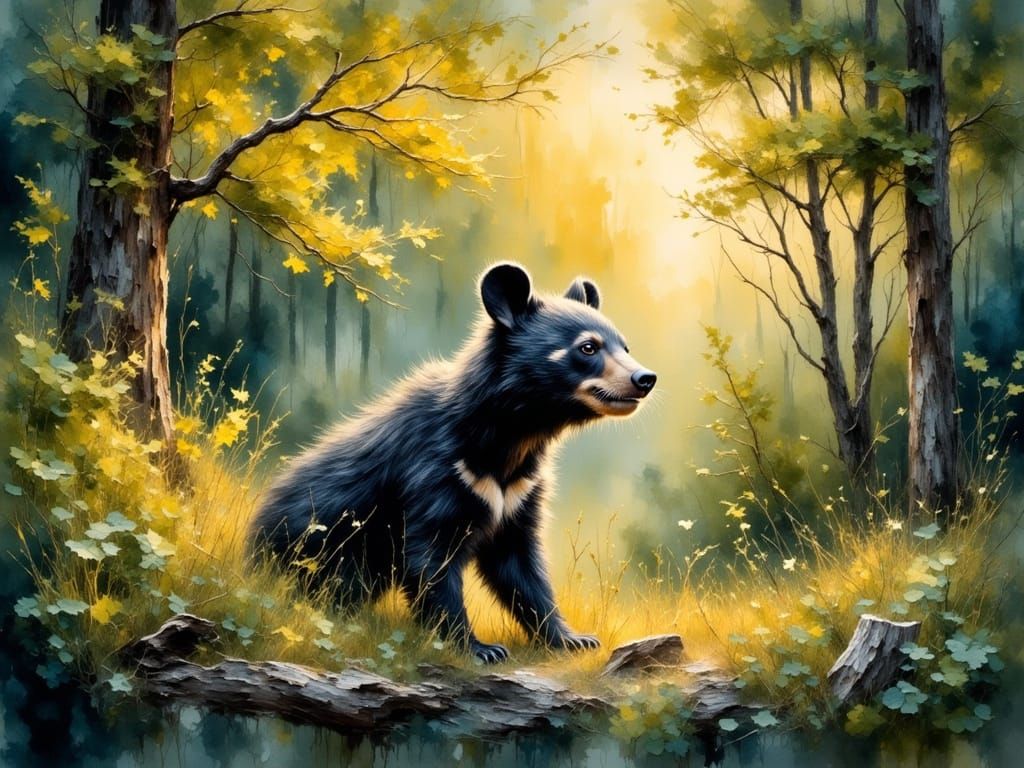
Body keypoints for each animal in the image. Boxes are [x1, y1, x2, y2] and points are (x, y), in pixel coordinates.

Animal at [250, 262, 657, 663]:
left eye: (625, 346)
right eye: (588, 347)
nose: (645, 378)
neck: (511, 438)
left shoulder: (520, 491)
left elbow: (522, 567)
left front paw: (572, 639)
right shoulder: (435, 473)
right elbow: (431, 559)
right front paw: (479, 648)